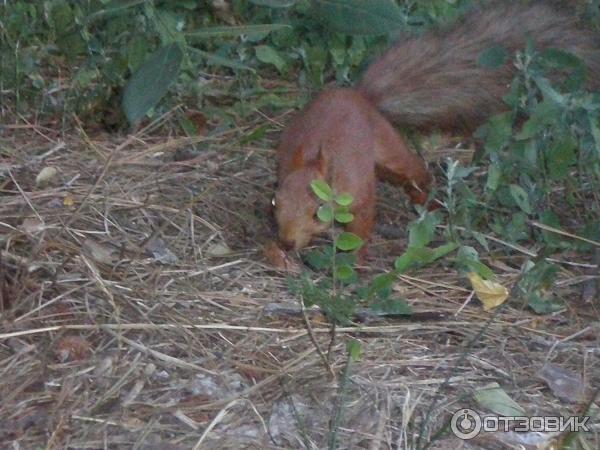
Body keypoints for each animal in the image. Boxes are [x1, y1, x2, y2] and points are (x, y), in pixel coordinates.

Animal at [274, 0, 600, 258]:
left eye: (317, 211)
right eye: (274, 203)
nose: (287, 242)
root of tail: (361, 96)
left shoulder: (356, 189)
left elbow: (362, 222)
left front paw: (356, 258)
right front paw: (277, 254)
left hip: (387, 145)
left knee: (415, 172)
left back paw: (425, 202)